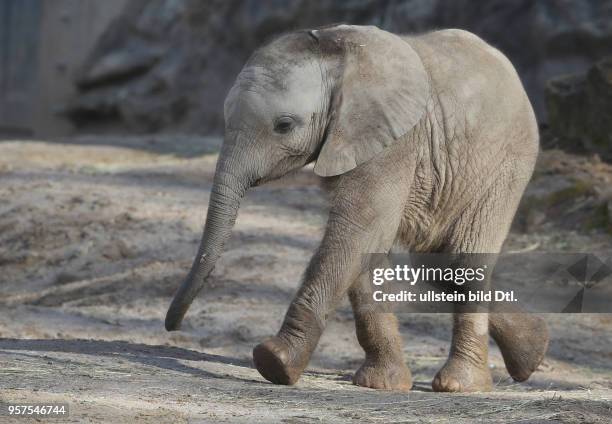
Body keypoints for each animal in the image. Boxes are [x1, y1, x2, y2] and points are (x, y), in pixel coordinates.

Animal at [164, 24, 548, 392]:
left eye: (284, 126)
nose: (172, 326)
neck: (334, 50)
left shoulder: (392, 139)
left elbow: (358, 229)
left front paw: (274, 363)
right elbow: (364, 245)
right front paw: (382, 385)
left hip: (505, 165)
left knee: (465, 263)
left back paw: (460, 385)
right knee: (441, 268)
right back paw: (534, 349)